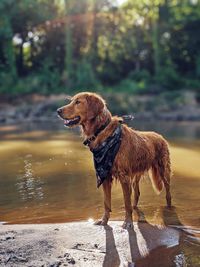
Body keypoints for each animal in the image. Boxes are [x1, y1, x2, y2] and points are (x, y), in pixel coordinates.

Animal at [57, 92, 171, 228]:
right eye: (72, 101)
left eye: (78, 102)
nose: (58, 110)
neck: (101, 131)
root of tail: (160, 136)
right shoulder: (105, 176)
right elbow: (107, 203)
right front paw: (104, 221)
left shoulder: (124, 177)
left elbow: (126, 203)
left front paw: (128, 222)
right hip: (136, 175)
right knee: (137, 194)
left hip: (163, 170)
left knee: (168, 192)